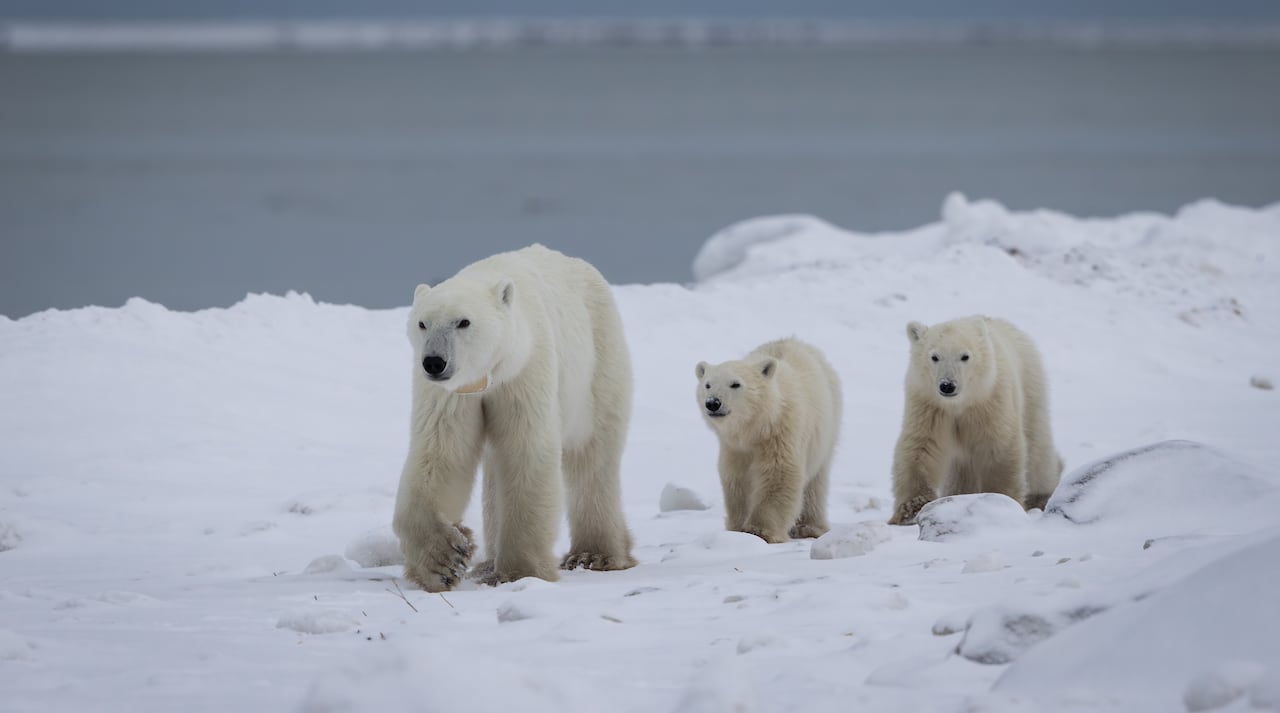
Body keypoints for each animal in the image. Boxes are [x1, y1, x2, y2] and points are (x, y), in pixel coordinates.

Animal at [392, 244, 637, 592]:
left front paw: (522, 572)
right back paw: (487, 563)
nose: (434, 362)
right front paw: (444, 561)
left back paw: (595, 554)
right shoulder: (454, 394)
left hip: (598, 362)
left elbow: (526, 453)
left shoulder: (525, 371)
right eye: (422, 323)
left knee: (592, 456)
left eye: (463, 322)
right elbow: (441, 454)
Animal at [695, 338, 842, 544]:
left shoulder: (781, 433)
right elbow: (737, 479)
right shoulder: (734, 447)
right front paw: (737, 529)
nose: (713, 403)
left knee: (816, 481)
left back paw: (810, 527)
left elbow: (778, 473)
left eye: (735, 384)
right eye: (707, 384)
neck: (755, 427)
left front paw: (760, 530)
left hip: (827, 426)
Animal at [888, 315, 1063, 526]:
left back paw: (1041, 495)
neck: (959, 404)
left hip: (1031, 387)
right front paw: (910, 511)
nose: (947, 385)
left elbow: (999, 447)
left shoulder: (990, 401)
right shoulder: (928, 405)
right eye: (934, 357)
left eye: (965, 356)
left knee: (1037, 448)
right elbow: (920, 447)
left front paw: (1001, 500)